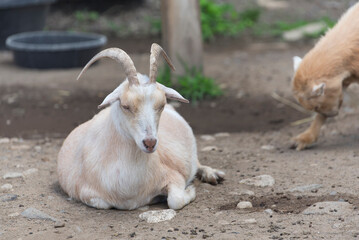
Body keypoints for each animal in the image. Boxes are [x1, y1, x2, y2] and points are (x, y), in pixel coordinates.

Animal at [57, 43, 225, 210]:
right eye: (125, 106)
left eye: (162, 105)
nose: (150, 143)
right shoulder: (87, 193)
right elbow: (102, 203)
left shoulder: (174, 175)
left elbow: (175, 200)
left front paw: (190, 190)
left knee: (197, 163)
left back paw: (214, 175)